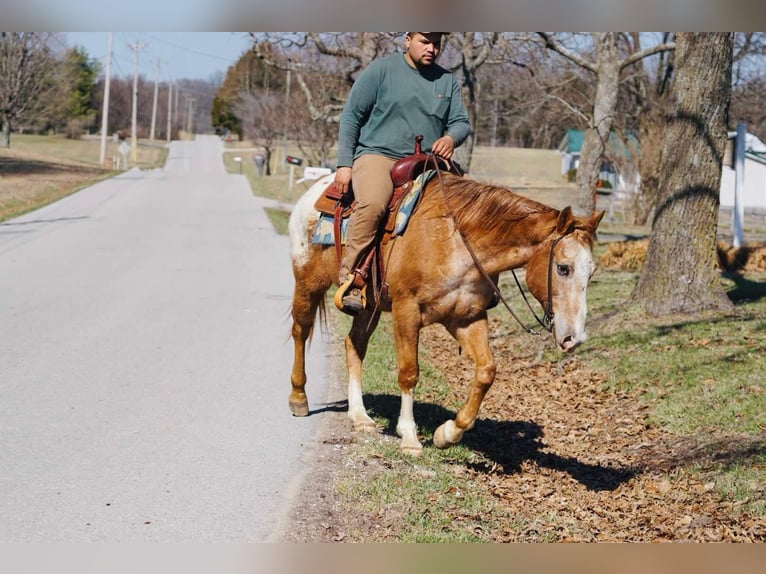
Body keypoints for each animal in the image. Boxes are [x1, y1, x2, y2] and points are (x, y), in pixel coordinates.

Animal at [288, 170, 604, 456]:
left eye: (591, 273)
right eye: (563, 268)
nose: (574, 338)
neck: (455, 240)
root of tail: (314, 189)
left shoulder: (466, 317)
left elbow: (486, 371)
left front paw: (447, 434)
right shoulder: (407, 310)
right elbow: (409, 373)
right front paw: (410, 437)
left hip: (368, 306)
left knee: (354, 345)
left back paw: (360, 416)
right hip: (308, 284)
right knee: (300, 332)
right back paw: (299, 398)